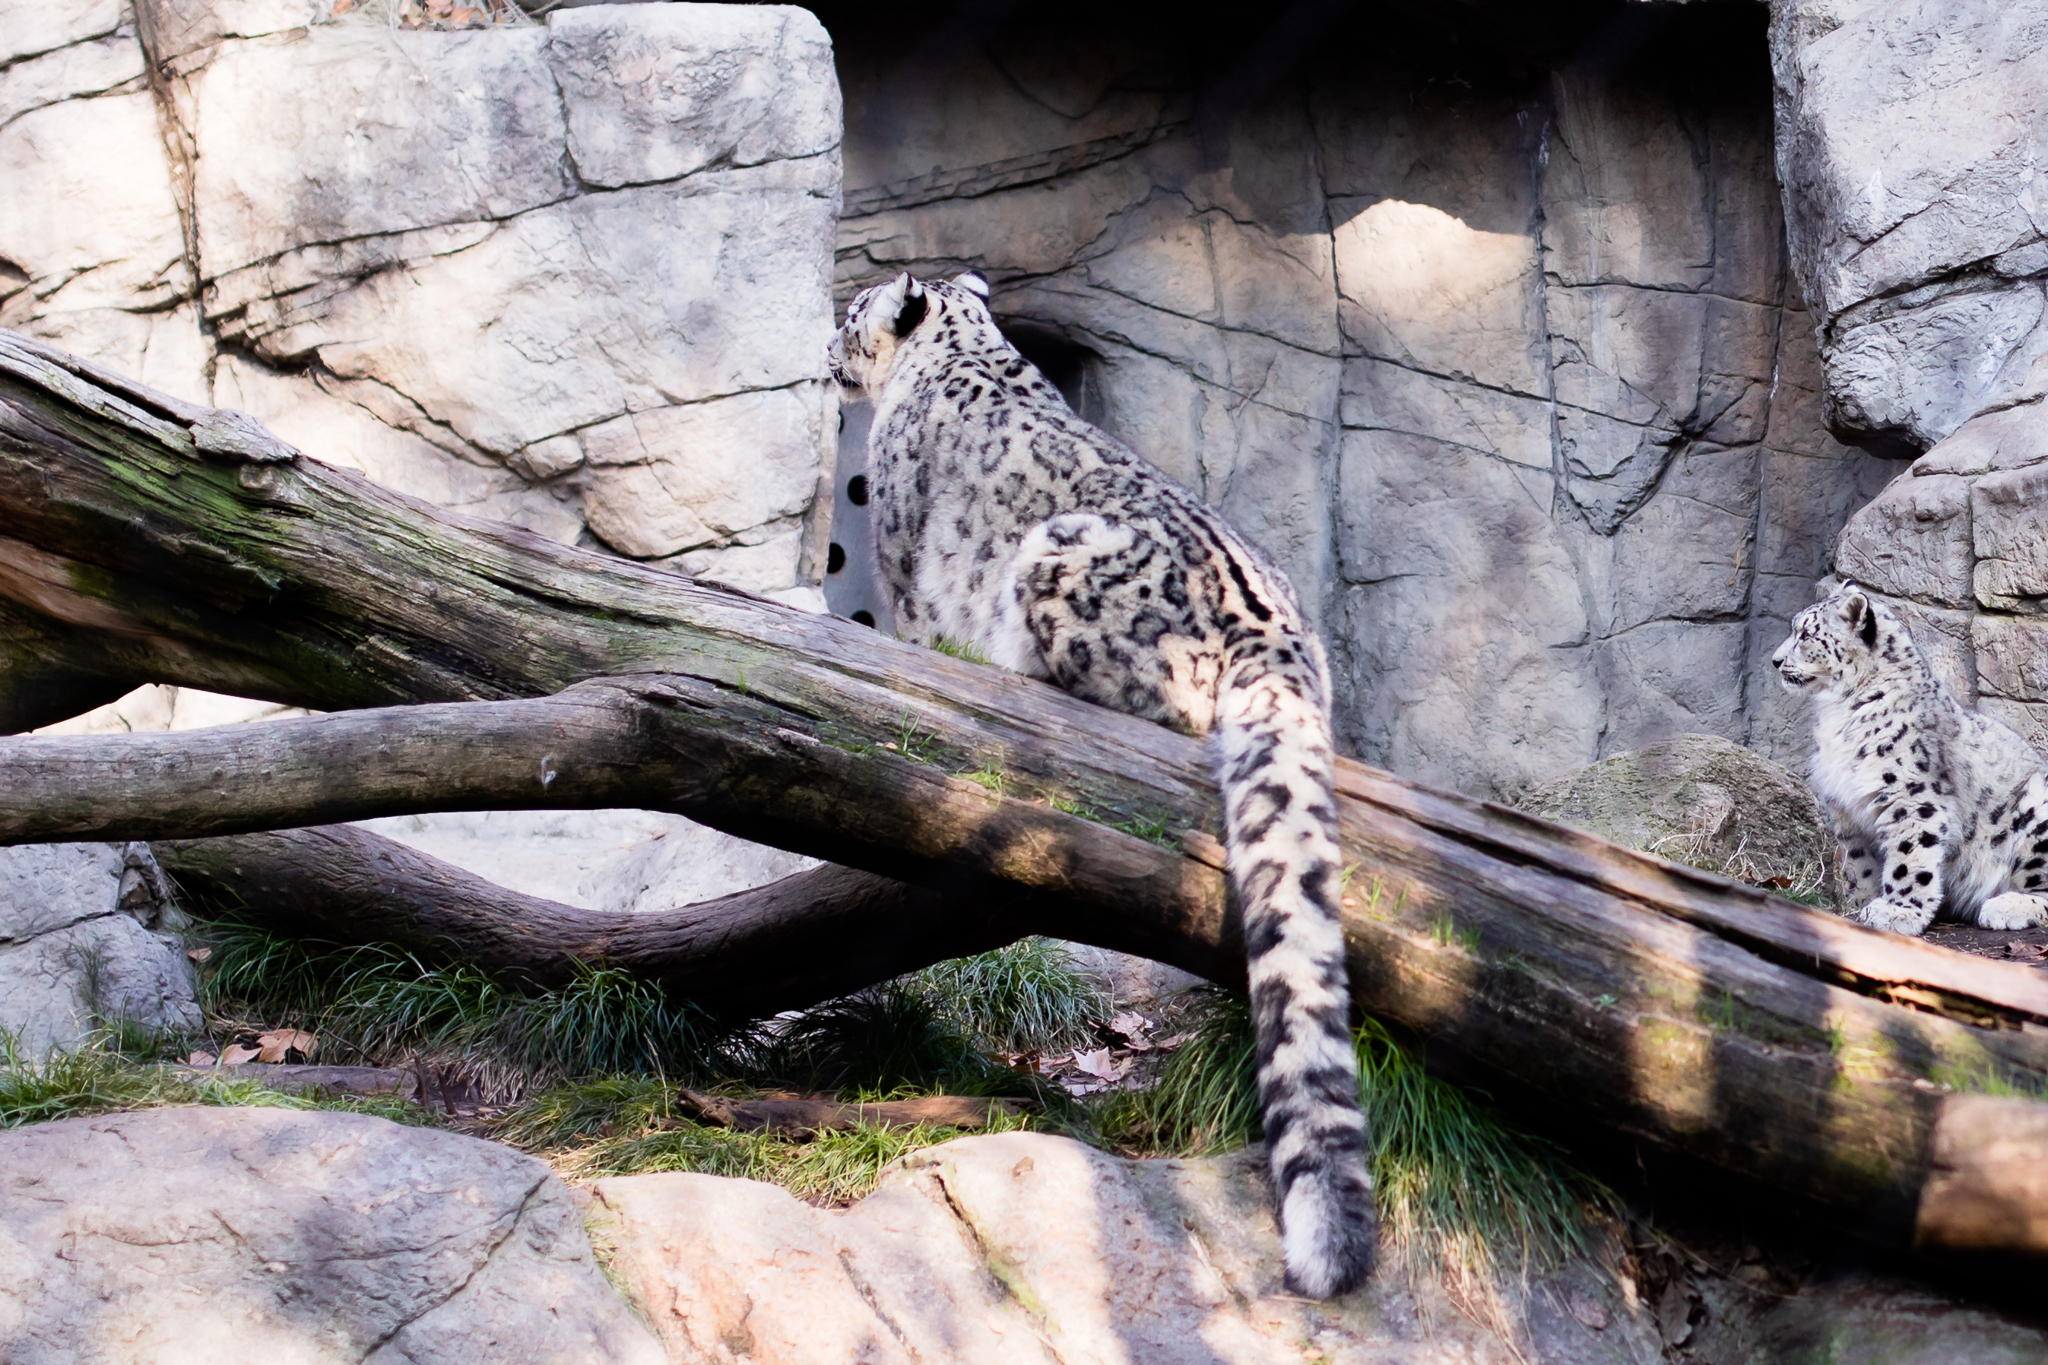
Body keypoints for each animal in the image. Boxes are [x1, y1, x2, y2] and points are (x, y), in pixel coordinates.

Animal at [827, 270, 1376, 1301]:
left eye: (850, 317)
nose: (825, 351)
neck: (957, 349)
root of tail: (1277, 633)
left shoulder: (906, 561)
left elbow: (913, 626)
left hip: (1060, 561)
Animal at [1769, 577, 2048, 941]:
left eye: (1806, 635)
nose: (1775, 661)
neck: (1837, 713)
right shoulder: (1844, 805)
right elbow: (1858, 860)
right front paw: (1859, 902)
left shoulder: (1910, 796)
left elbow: (1908, 855)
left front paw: (1898, 911)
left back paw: (2005, 906)